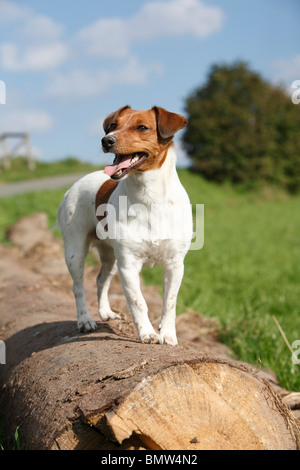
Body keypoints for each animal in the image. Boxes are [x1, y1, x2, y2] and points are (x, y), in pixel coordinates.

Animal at [56, 106, 192, 346]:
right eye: (113, 125)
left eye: (142, 127)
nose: (106, 140)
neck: (150, 197)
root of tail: (70, 188)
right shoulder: (128, 265)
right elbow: (138, 302)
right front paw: (147, 333)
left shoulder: (175, 265)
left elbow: (170, 302)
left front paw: (167, 334)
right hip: (75, 252)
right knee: (78, 287)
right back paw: (85, 320)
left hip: (111, 257)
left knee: (101, 280)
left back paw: (105, 312)